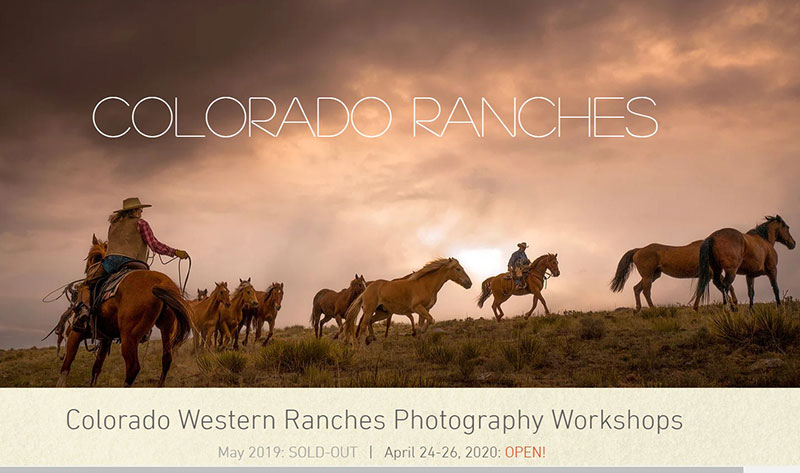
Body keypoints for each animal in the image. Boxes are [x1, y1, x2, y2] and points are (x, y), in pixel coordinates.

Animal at [56, 234, 194, 386]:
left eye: (92, 257)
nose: (88, 273)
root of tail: (161, 282)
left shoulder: (75, 334)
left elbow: (66, 367)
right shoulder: (106, 339)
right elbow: (96, 369)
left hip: (130, 337)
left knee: (133, 367)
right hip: (167, 328)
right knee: (166, 359)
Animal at [608, 240, 740, 310]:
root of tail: (638, 250)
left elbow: (727, 287)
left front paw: (734, 303)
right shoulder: (710, 275)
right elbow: (709, 289)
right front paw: (732, 305)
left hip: (653, 275)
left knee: (637, 288)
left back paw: (638, 309)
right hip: (648, 276)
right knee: (646, 291)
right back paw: (653, 309)